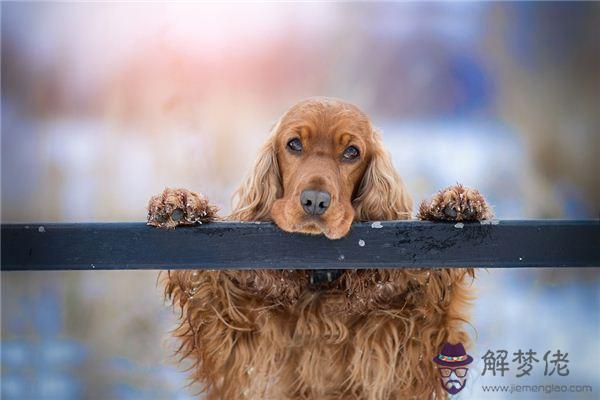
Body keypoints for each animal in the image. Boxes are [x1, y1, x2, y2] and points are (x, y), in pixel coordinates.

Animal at [148, 97, 490, 400]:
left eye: (352, 152)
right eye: (294, 144)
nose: (314, 201)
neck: (319, 281)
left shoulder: (405, 344)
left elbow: (435, 302)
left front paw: (452, 204)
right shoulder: (236, 342)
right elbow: (206, 285)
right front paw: (180, 204)